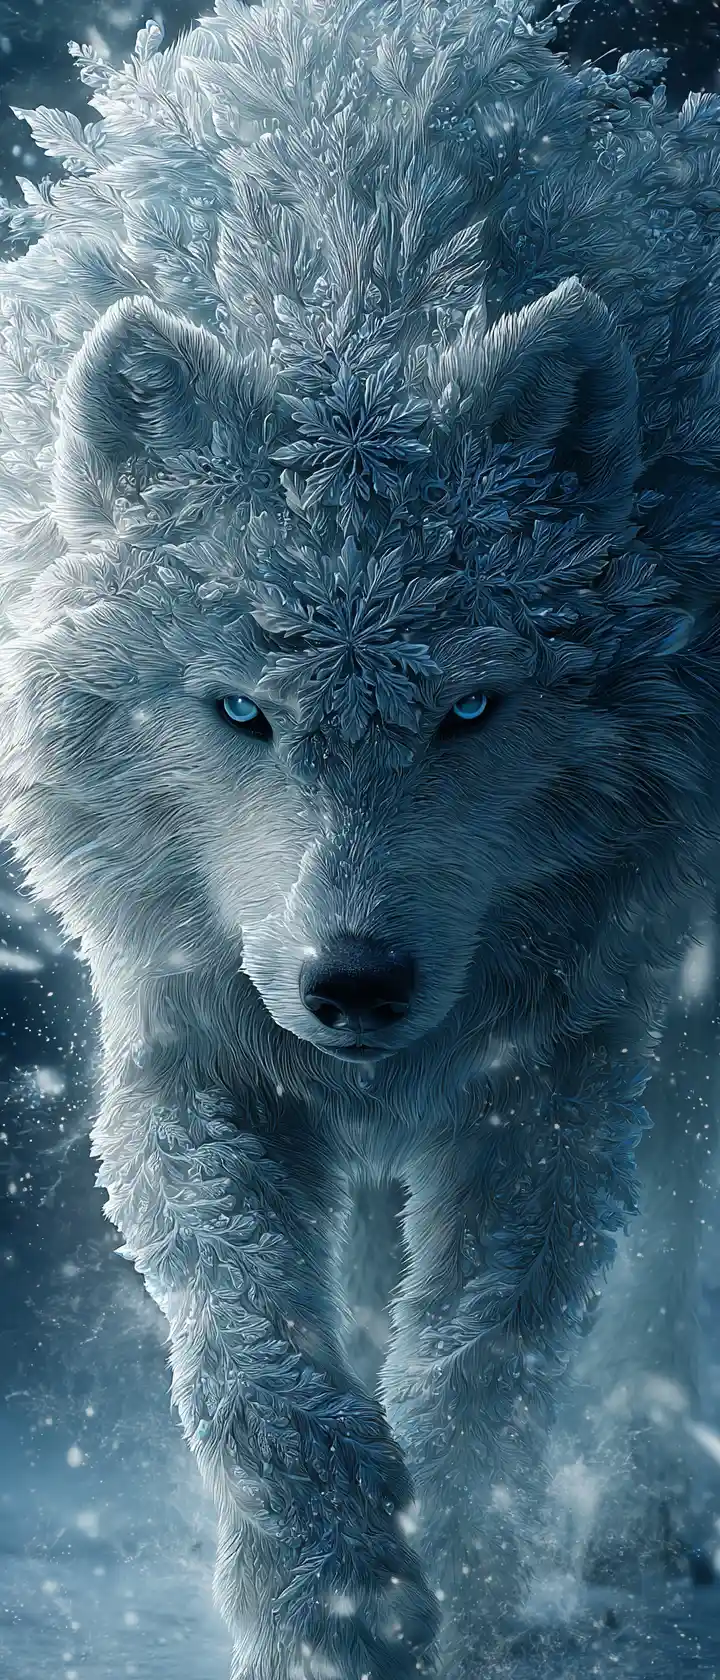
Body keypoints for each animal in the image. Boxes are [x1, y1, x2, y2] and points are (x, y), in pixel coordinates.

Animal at [1, 0, 720, 1674]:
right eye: (239, 712)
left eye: (468, 710)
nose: (354, 983)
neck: (355, 282)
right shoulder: (191, 1031)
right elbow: (257, 1363)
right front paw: (331, 1606)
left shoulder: (560, 1056)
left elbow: (483, 1364)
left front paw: (472, 1588)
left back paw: (644, 1519)